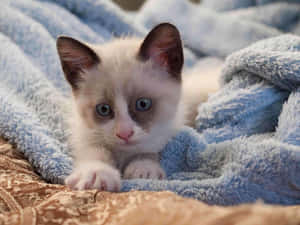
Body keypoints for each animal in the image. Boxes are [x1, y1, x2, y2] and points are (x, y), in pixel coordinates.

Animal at [56, 22, 220, 192]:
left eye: (143, 104)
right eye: (103, 109)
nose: (124, 134)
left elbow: (149, 150)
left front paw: (144, 169)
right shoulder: (87, 137)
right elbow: (95, 152)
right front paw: (96, 173)